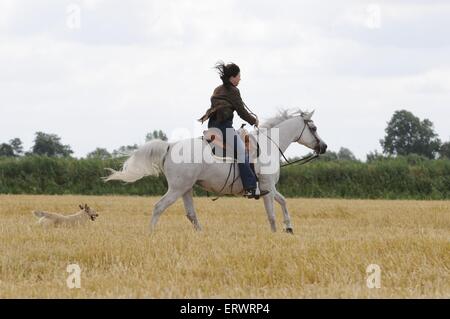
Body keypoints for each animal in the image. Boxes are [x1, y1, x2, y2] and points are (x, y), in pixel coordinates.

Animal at [105, 111, 326, 234]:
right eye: (314, 128)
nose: (323, 147)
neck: (268, 146)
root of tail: (170, 146)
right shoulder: (267, 188)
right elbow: (271, 213)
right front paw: (275, 233)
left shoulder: (269, 188)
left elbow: (283, 202)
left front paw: (288, 227)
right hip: (177, 189)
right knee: (159, 207)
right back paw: (150, 233)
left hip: (185, 189)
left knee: (191, 214)